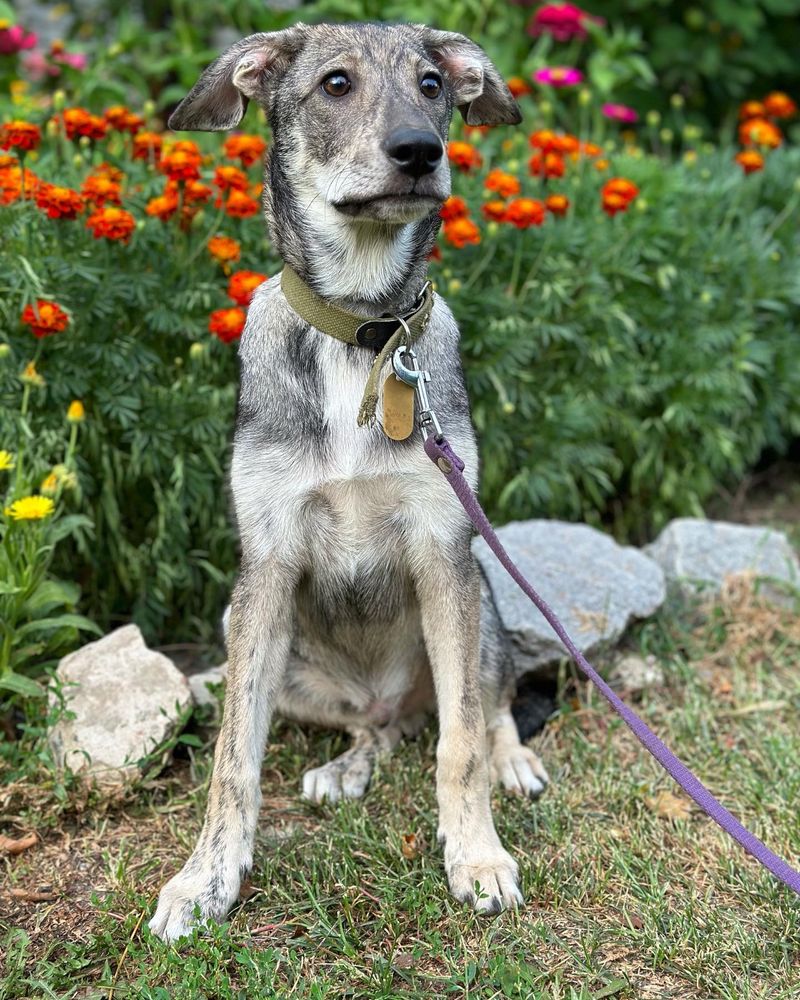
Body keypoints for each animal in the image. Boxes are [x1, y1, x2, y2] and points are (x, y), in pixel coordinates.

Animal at [148, 23, 552, 944]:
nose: (419, 152)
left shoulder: (444, 548)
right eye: (335, 84)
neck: (362, 334)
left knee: (481, 701)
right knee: (376, 729)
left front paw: (477, 856)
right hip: (266, 643)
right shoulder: (264, 566)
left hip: (482, 598)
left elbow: (461, 742)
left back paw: (512, 759)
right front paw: (205, 879)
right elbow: (232, 757)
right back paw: (349, 765)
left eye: (434, 84)